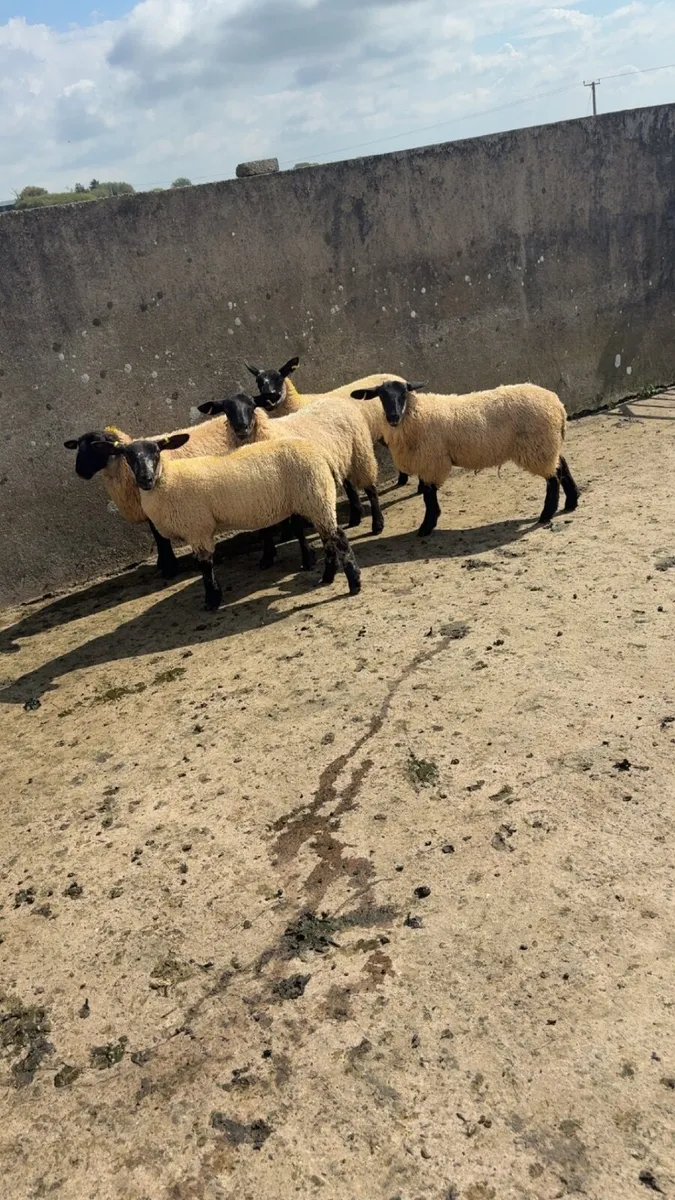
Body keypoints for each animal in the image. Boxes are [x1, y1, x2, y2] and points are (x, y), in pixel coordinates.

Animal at [64, 419, 314, 577]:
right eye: (78, 447)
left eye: (94, 446)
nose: (79, 471)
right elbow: (158, 536)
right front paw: (163, 563)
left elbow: (160, 538)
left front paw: (168, 567)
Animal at [88, 433, 362, 609]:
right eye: (127, 456)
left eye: (157, 452)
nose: (145, 479)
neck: (166, 480)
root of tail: (320, 452)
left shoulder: (197, 527)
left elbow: (205, 565)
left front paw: (212, 600)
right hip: (314, 498)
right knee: (327, 539)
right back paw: (326, 577)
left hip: (315, 494)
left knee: (338, 537)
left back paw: (354, 583)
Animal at [197, 392, 384, 535]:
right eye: (226, 409)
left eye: (252, 405)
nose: (242, 427)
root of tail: (335, 399)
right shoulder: (262, 493)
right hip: (341, 459)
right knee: (350, 486)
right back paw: (355, 518)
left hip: (361, 453)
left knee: (371, 489)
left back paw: (377, 524)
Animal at [350, 380, 579, 537]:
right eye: (381, 395)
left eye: (403, 393)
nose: (393, 417)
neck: (415, 415)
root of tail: (557, 405)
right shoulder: (428, 463)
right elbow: (428, 494)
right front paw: (431, 522)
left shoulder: (432, 461)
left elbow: (428, 495)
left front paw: (427, 526)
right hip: (547, 445)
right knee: (562, 465)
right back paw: (571, 502)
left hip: (538, 447)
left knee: (553, 477)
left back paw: (547, 513)